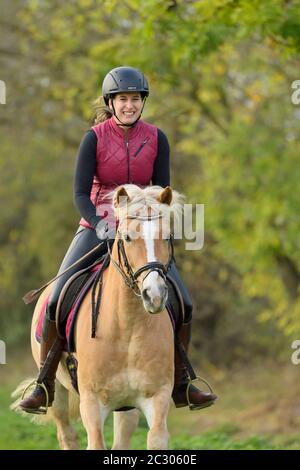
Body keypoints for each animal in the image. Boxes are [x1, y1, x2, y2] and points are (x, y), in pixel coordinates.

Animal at [14, 185, 185, 452]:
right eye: (127, 237)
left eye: (167, 237)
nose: (154, 295)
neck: (127, 328)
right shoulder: (92, 403)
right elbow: (95, 442)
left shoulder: (157, 396)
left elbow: (156, 439)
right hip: (58, 392)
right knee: (66, 434)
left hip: (126, 406)